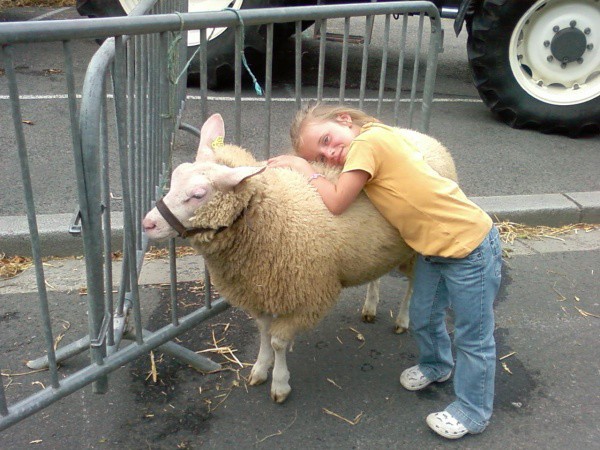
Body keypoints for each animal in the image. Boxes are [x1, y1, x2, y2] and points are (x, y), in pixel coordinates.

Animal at [144, 114, 454, 402]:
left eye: (198, 194)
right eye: (174, 178)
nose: (148, 223)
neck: (269, 211)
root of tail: (417, 134)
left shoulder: (307, 296)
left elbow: (279, 342)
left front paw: (280, 384)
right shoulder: (259, 291)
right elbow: (263, 332)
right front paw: (260, 368)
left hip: (415, 248)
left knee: (413, 285)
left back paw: (402, 319)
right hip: (377, 248)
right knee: (376, 274)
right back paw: (370, 307)